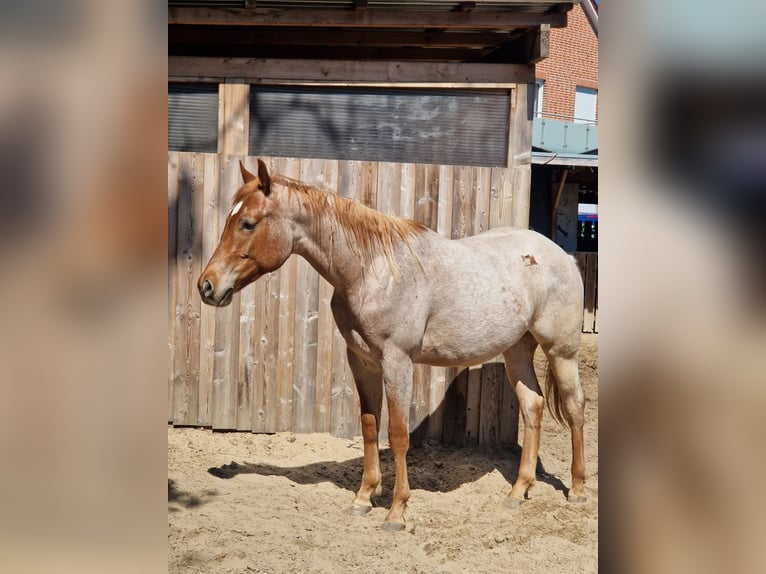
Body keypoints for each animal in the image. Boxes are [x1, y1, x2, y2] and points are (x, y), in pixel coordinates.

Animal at [198, 159, 586, 531]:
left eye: (247, 223)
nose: (207, 286)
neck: (372, 270)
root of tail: (563, 256)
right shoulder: (362, 361)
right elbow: (370, 426)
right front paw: (363, 497)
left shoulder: (397, 362)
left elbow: (397, 434)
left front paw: (396, 512)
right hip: (517, 350)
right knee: (532, 406)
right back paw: (518, 490)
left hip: (561, 352)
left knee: (574, 407)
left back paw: (578, 489)